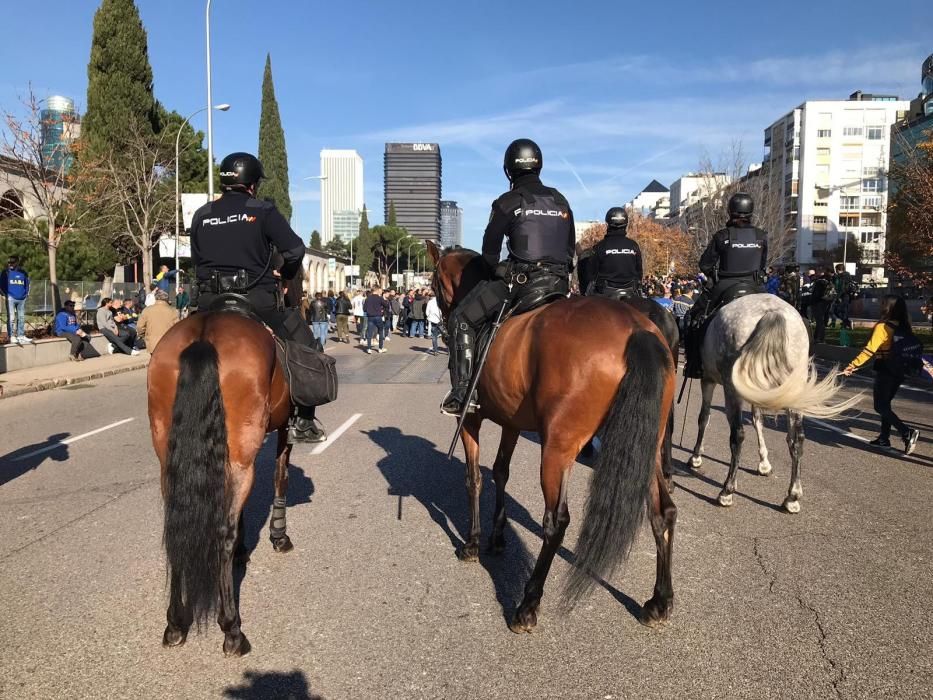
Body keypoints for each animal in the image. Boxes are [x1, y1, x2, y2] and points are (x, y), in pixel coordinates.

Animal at [148, 310, 294, 656]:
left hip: (168, 457)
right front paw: (279, 536)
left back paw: (175, 623)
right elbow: (280, 476)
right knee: (221, 533)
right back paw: (232, 629)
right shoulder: (282, 428)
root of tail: (204, 334)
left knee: (176, 529)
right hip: (241, 453)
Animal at [430, 243, 676, 632]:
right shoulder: (512, 422)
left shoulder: (471, 418)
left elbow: (474, 479)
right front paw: (497, 537)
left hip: (558, 448)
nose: (440, 318)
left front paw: (473, 543)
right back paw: (659, 601)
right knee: (662, 511)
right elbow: (500, 472)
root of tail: (638, 329)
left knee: (556, 522)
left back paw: (527, 604)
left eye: (435, 282)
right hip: (646, 445)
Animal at [684, 292, 860, 512]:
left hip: (732, 388)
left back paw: (727, 491)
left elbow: (704, 418)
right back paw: (792, 496)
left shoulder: (708, 380)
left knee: (738, 434)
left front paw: (696, 456)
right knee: (797, 439)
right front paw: (764, 463)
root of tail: (771, 312)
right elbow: (758, 421)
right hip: (792, 389)